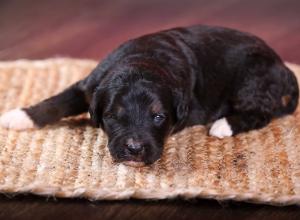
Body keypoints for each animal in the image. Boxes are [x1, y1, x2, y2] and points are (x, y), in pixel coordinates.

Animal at [0, 25, 298, 167]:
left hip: (252, 79)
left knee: (261, 114)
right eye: (111, 116)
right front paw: (19, 117)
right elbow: (58, 101)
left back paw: (223, 125)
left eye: (159, 117)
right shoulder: (90, 85)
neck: (144, 62)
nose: (134, 149)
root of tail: (282, 66)